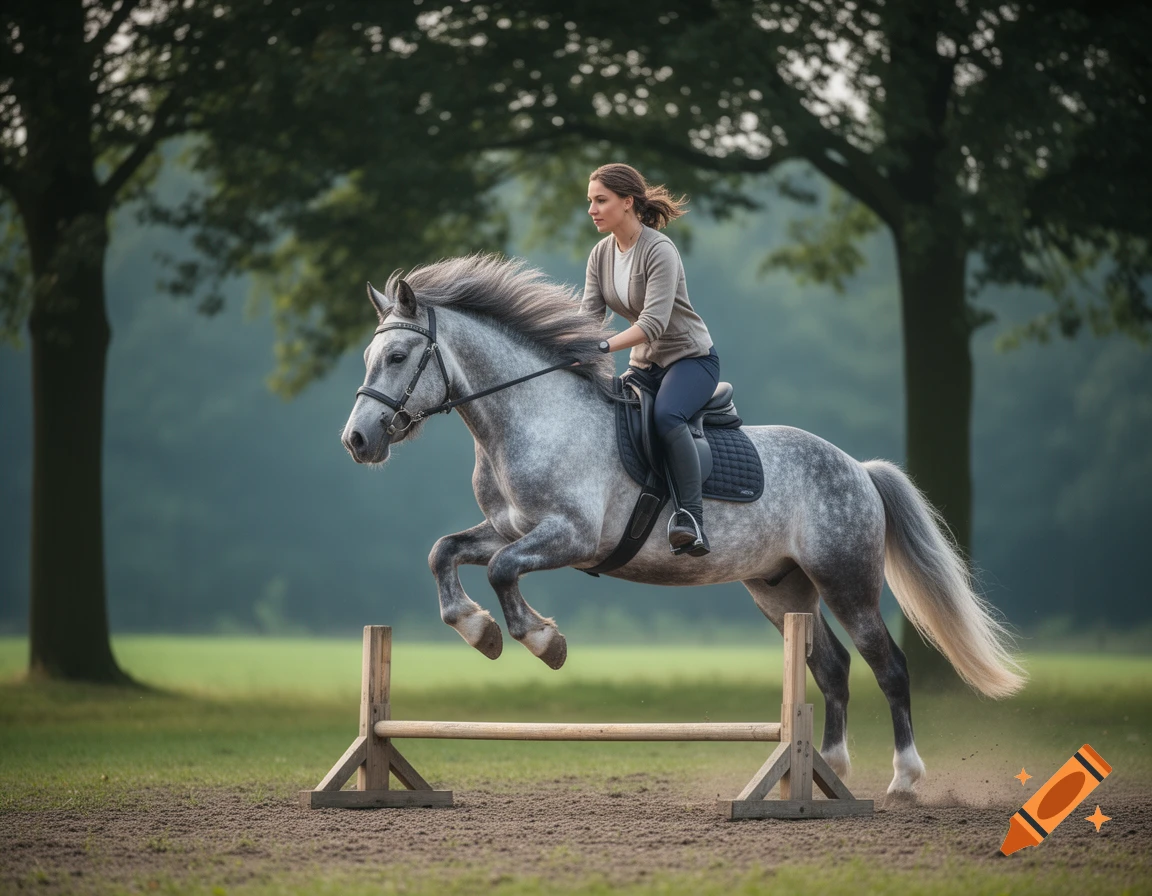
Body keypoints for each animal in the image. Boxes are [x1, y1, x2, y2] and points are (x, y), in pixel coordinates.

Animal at [340, 254, 1025, 795]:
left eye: (396, 355)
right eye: (370, 355)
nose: (357, 440)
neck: (528, 418)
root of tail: (857, 467)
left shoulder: (568, 537)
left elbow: (504, 571)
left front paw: (541, 641)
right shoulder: (508, 528)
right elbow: (445, 552)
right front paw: (476, 629)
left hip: (846, 581)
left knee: (889, 666)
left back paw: (905, 779)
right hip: (782, 588)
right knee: (830, 668)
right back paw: (829, 767)